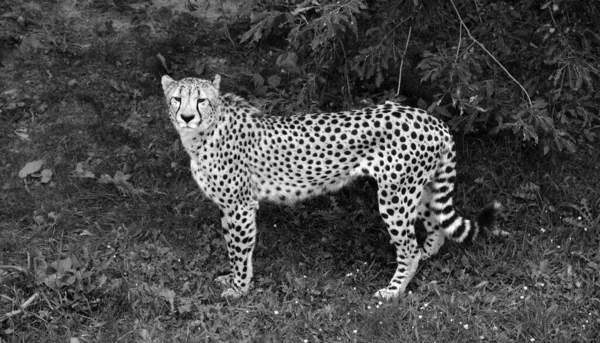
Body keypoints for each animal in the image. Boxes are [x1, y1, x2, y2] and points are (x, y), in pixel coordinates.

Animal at [162, 74, 500, 298]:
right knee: (435, 228)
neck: (202, 133)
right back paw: (426, 257)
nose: (187, 116)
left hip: (395, 196)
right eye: (177, 98)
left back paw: (392, 291)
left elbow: (239, 250)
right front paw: (232, 281)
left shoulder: (240, 206)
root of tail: (431, 119)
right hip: (421, 189)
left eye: (201, 100)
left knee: (408, 248)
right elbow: (232, 246)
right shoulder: (227, 207)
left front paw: (239, 289)